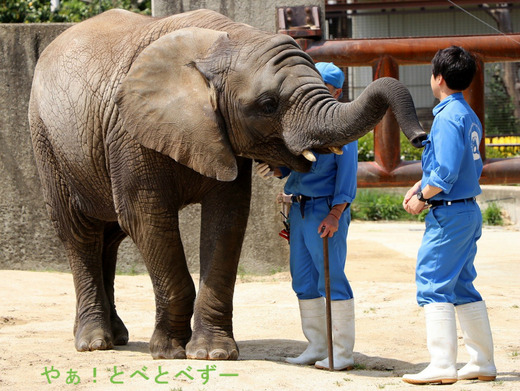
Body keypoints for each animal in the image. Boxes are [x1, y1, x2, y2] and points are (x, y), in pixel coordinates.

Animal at [28, 7, 426, 362]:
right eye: (268, 104)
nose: (421, 137)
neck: (225, 42)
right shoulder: (129, 133)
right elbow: (146, 218)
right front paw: (169, 353)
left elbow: (228, 219)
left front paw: (212, 354)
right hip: (46, 141)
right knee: (80, 234)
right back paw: (95, 343)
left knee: (109, 238)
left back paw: (118, 336)